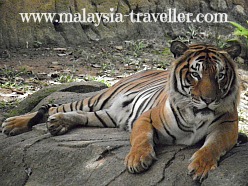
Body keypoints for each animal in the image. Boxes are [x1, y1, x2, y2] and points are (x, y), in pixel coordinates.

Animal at [1, 40, 242, 182]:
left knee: (77, 115)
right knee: (56, 107)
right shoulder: (147, 118)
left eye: (220, 75)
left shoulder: (226, 127)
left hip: (105, 115)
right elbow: (141, 139)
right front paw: (137, 160)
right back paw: (13, 123)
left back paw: (57, 123)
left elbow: (212, 147)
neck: (195, 116)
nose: (209, 100)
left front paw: (201, 167)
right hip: (97, 99)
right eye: (195, 74)